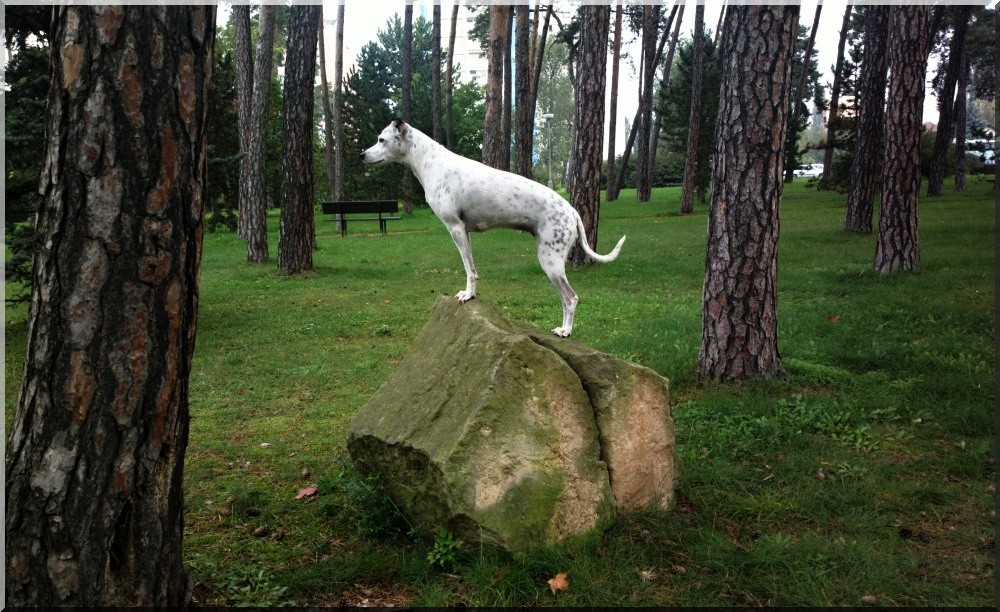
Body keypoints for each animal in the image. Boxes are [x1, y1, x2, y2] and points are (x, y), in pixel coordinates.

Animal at [360, 119, 626, 337]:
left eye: (381, 139)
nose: (362, 155)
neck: (431, 161)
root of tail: (572, 211)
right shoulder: (464, 232)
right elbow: (472, 267)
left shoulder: (455, 228)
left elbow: (469, 269)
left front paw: (467, 295)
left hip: (551, 260)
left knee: (570, 298)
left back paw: (565, 331)